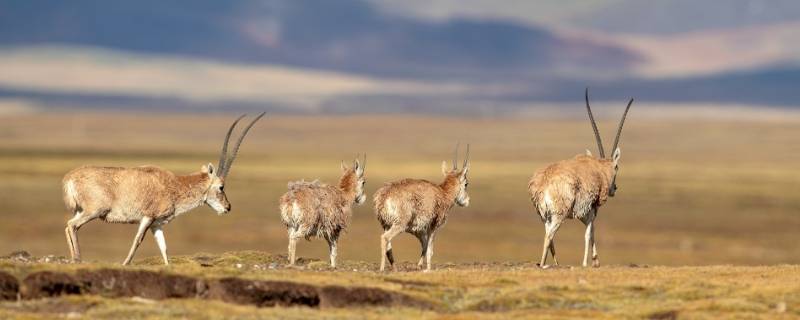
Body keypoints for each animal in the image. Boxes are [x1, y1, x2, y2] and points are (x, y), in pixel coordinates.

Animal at [61, 112, 266, 264]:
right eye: (221, 187)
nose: (228, 207)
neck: (174, 184)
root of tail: (70, 177)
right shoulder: (148, 218)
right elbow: (138, 240)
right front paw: (125, 264)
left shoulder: (157, 225)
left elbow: (164, 248)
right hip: (94, 211)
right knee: (72, 226)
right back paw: (78, 259)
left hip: (82, 211)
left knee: (68, 226)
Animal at [528, 90, 636, 268]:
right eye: (616, 167)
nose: (614, 188)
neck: (599, 169)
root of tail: (543, 184)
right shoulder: (591, 208)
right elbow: (589, 233)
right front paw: (586, 262)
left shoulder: (582, 214)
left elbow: (592, 231)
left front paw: (596, 261)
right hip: (559, 214)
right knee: (549, 236)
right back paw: (544, 264)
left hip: (545, 216)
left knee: (549, 237)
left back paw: (555, 263)